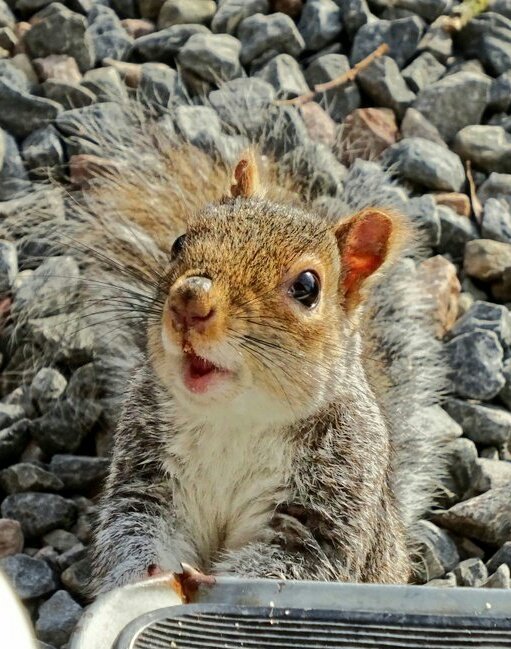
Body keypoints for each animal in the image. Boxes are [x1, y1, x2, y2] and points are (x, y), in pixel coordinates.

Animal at [8, 105, 448, 595]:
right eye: (179, 242)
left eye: (307, 287)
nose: (190, 301)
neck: (235, 421)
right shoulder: (147, 474)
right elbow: (134, 528)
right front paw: (151, 577)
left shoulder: (333, 496)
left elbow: (292, 566)